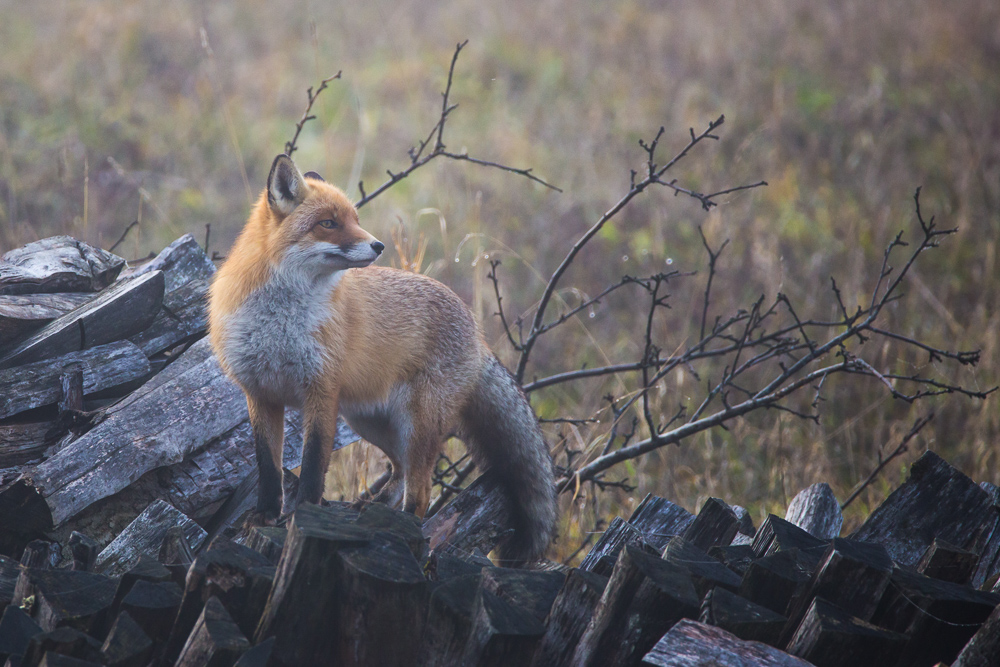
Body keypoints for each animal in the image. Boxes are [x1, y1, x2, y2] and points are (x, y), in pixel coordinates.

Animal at [208, 153, 560, 564]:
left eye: (355, 220)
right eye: (328, 223)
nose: (377, 246)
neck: (280, 321)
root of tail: (478, 336)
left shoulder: (321, 392)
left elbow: (312, 465)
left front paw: (302, 514)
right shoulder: (260, 394)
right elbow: (267, 465)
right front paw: (264, 515)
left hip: (415, 425)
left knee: (419, 493)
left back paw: (403, 531)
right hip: (370, 422)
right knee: (400, 473)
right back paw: (371, 510)